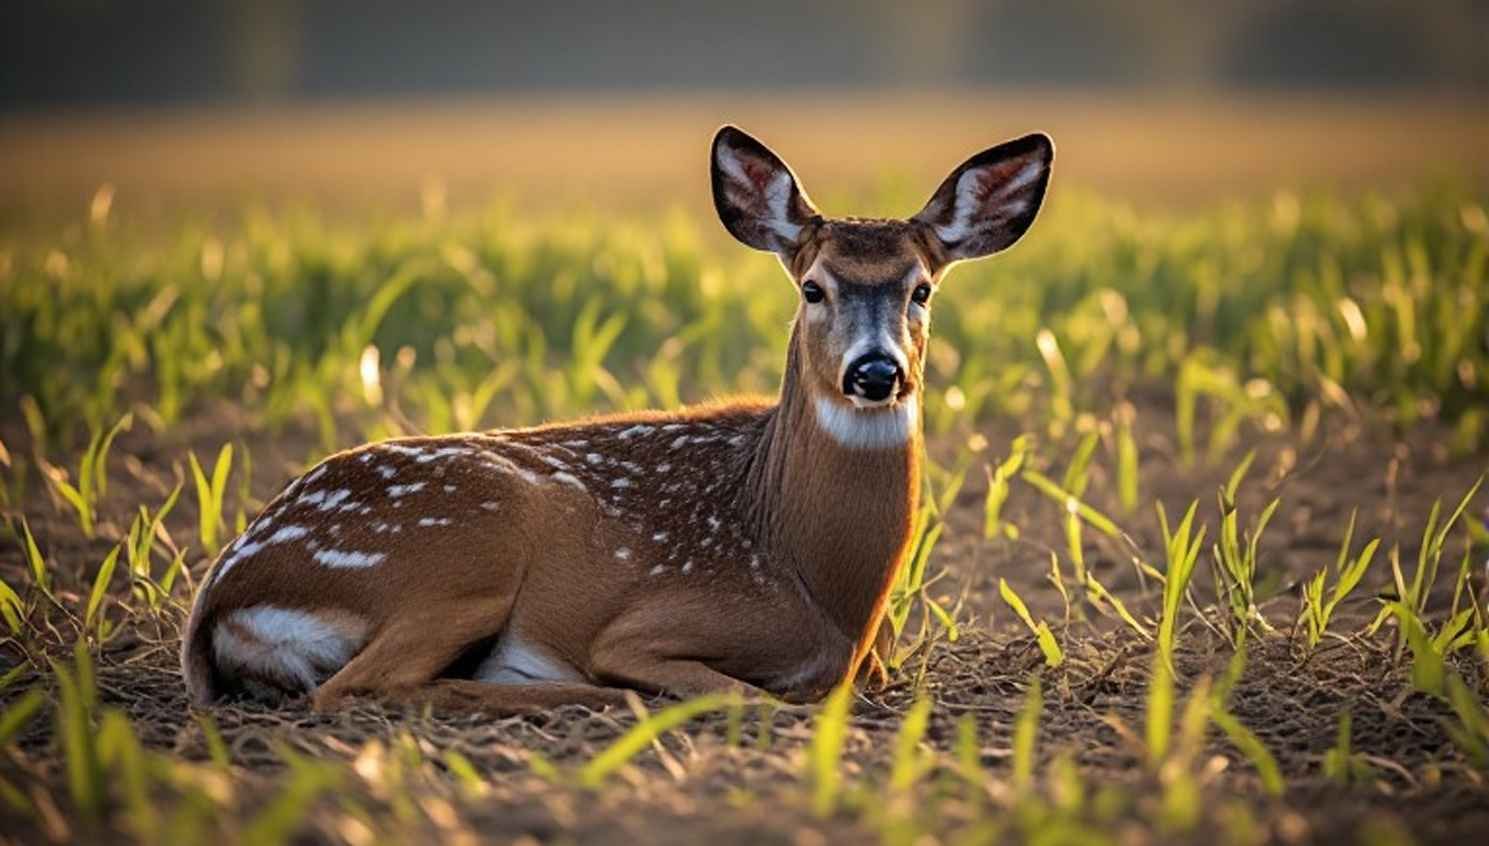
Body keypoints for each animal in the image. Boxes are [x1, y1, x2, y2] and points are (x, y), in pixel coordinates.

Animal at [181, 124, 1053, 713]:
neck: (823, 585)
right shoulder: (648, 624)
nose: (875, 372)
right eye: (814, 288)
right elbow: (746, 695)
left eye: (921, 290)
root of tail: (222, 595)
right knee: (355, 688)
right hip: (468, 547)